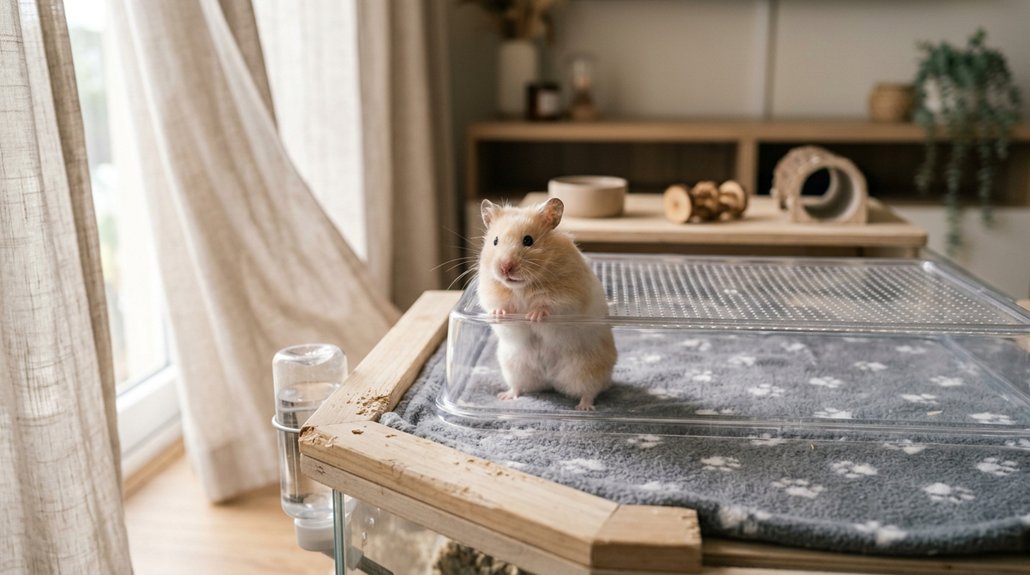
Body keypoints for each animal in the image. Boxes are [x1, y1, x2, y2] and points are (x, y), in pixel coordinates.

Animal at [477, 197, 616, 411]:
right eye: (495, 241)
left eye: (528, 240)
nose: (504, 267)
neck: (521, 287)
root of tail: (550, 380)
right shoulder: (490, 294)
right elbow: (499, 308)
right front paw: (498, 314)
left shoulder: (568, 299)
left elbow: (549, 306)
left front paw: (533, 316)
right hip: (514, 366)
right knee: (519, 387)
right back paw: (505, 396)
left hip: (587, 368)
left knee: (590, 391)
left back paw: (583, 408)